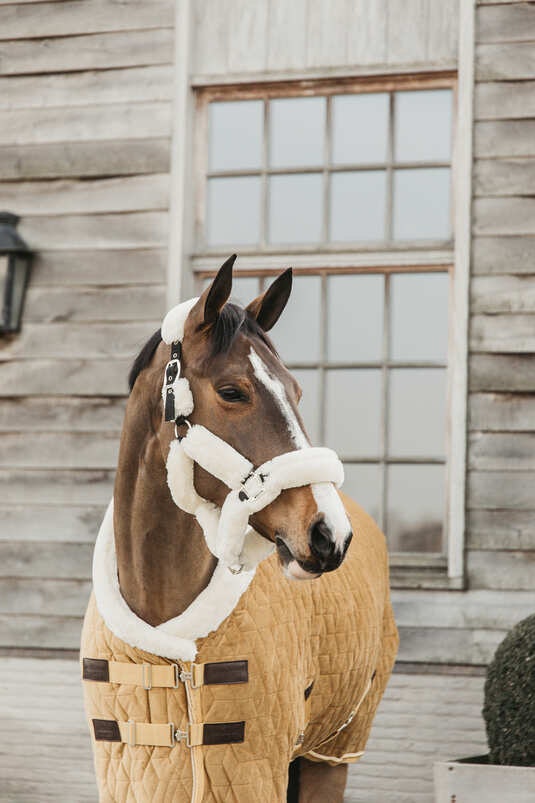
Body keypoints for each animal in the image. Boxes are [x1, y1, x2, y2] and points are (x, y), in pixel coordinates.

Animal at [79, 254, 398, 800]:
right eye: (232, 391)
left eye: (296, 390)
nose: (330, 534)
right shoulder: (129, 775)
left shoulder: (253, 771)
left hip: (330, 753)